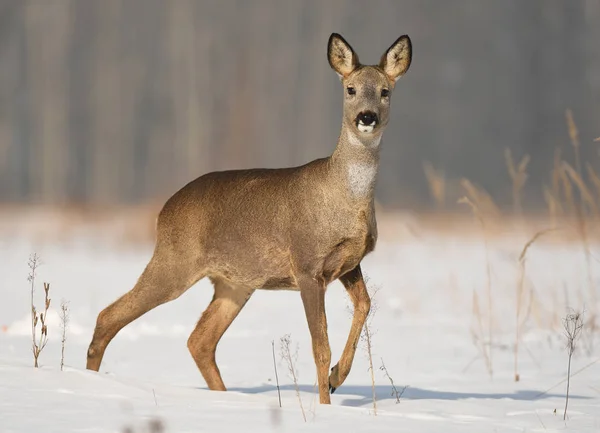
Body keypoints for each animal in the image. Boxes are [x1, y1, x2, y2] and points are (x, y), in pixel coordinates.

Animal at [85, 32, 412, 404]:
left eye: (385, 91)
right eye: (351, 89)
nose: (367, 117)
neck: (345, 198)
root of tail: (165, 209)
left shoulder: (349, 263)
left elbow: (365, 306)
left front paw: (336, 377)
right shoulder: (306, 264)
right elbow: (320, 347)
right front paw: (326, 402)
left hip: (235, 282)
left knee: (199, 339)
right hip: (175, 261)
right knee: (109, 315)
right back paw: (90, 380)